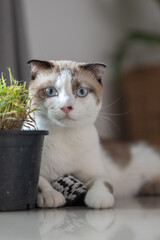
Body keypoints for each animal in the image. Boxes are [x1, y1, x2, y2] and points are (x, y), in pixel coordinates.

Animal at [26, 59, 160, 208]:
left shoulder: (96, 173)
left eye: (82, 91)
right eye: (50, 91)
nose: (66, 107)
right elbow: (40, 181)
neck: (65, 136)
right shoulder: (33, 167)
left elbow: (102, 183)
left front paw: (99, 199)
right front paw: (51, 195)